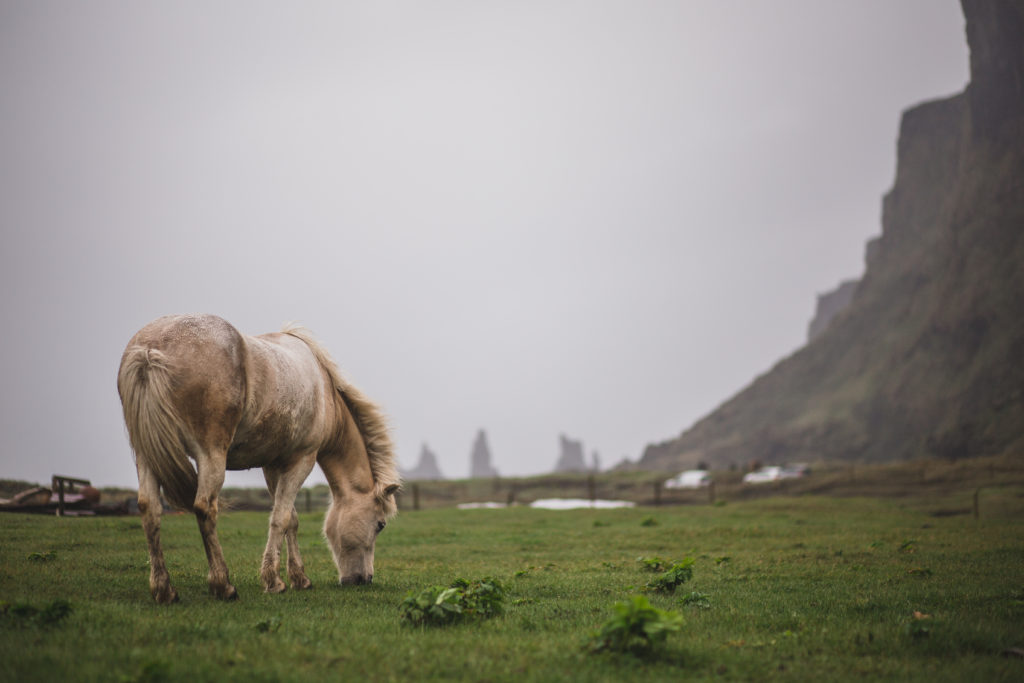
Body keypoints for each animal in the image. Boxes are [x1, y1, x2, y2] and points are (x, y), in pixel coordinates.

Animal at [115, 315, 395, 602]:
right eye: (380, 524)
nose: (364, 579)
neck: (324, 392)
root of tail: (151, 348)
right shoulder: (301, 460)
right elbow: (281, 518)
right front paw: (274, 581)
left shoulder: (273, 465)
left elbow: (290, 519)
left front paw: (298, 578)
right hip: (210, 456)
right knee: (204, 508)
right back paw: (223, 585)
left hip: (147, 457)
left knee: (150, 510)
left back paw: (164, 590)